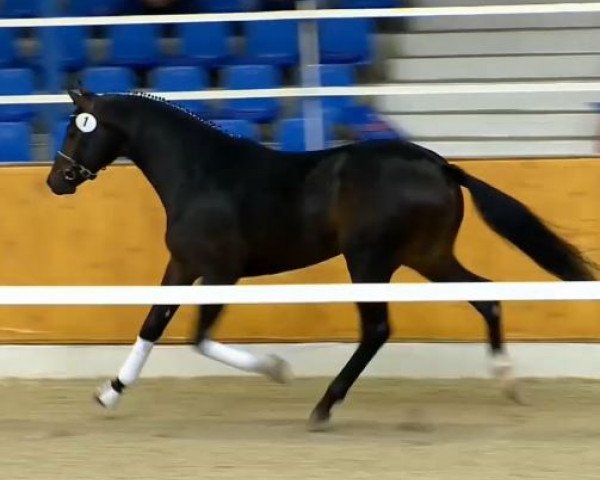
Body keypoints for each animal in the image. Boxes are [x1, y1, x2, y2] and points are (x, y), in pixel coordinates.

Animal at [47, 90, 596, 432]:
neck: (200, 173)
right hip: (428, 255)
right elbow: (153, 324)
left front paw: (277, 369)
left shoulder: (222, 271)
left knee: (377, 329)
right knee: (487, 296)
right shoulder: (183, 265)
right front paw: (110, 393)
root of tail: (442, 166)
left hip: (370, 260)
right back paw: (506, 379)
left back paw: (324, 407)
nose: (56, 181)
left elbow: (198, 338)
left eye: (77, 131)